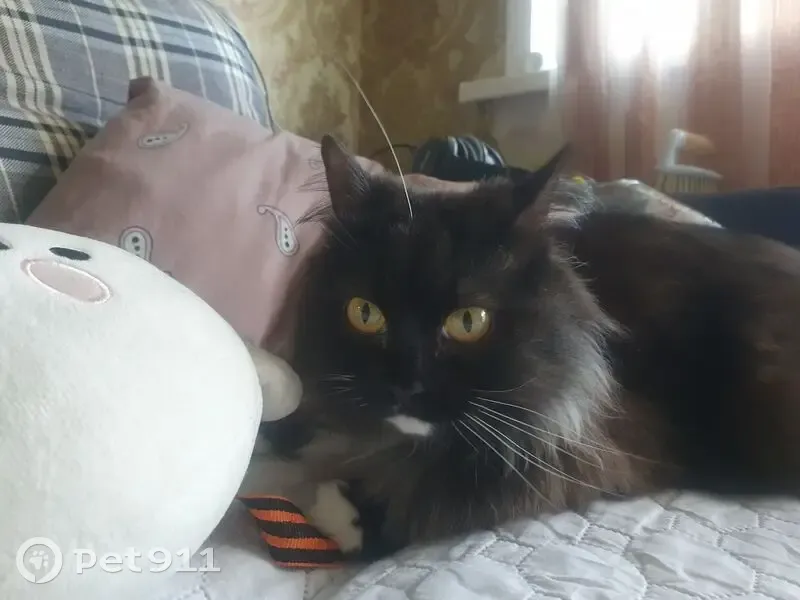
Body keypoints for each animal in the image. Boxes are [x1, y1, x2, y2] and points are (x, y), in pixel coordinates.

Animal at [263, 134, 800, 561]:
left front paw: (347, 513)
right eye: (365, 313)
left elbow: (457, 492)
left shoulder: (596, 443)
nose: (404, 384)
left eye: (469, 322)